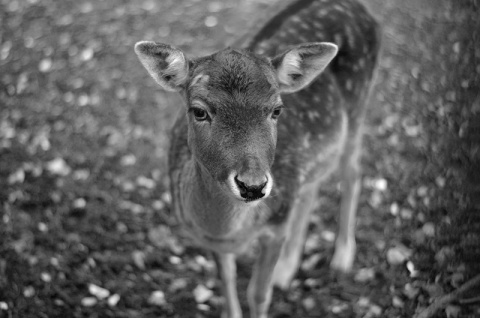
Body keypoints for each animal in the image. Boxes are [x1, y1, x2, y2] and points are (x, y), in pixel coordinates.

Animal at [134, 0, 378, 316]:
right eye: (199, 111)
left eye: (276, 110)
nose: (253, 185)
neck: (232, 232)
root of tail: (358, 7)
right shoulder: (213, 241)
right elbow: (225, 280)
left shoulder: (275, 226)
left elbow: (259, 294)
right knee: (311, 188)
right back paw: (287, 269)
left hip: (360, 106)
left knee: (352, 172)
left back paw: (342, 257)